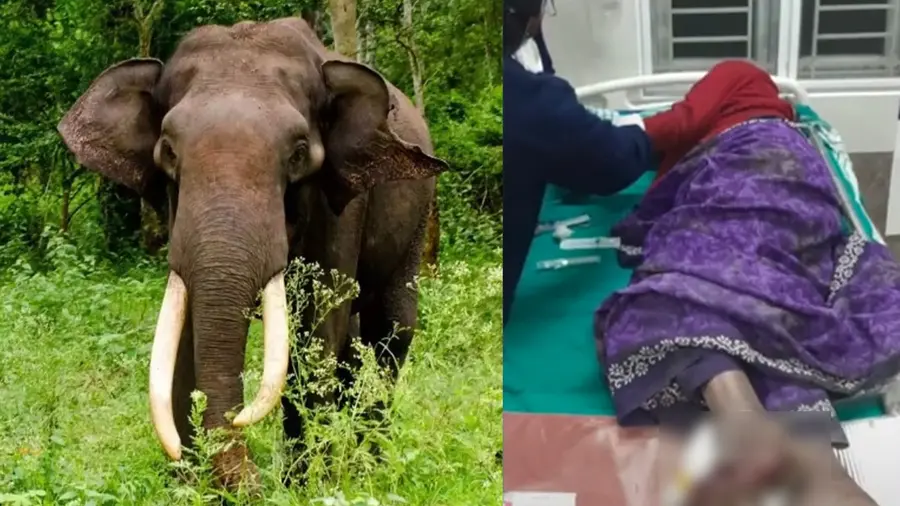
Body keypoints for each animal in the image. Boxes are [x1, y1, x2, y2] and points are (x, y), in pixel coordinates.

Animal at [57, 17, 447, 487]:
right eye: (168, 150)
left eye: (299, 153)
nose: (248, 478)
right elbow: (188, 334)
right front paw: (192, 485)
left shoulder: (343, 203)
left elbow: (315, 333)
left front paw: (306, 486)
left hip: (418, 216)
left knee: (390, 335)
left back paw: (371, 466)